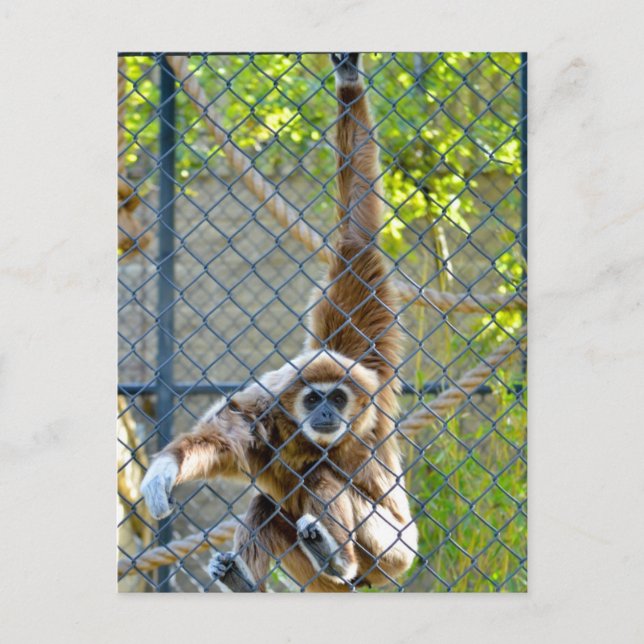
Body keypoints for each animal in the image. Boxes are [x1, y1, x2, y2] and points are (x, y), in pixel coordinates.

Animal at [140, 53, 418, 592]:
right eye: (313, 399)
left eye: (338, 398)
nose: (326, 413)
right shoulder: (270, 414)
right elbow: (227, 433)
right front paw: (166, 466)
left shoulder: (367, 369)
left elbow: (357, 243)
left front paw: (349, 80)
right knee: (267, 505)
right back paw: (247, 581)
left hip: (393, 552)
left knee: (322, 479)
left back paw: (336, 558)